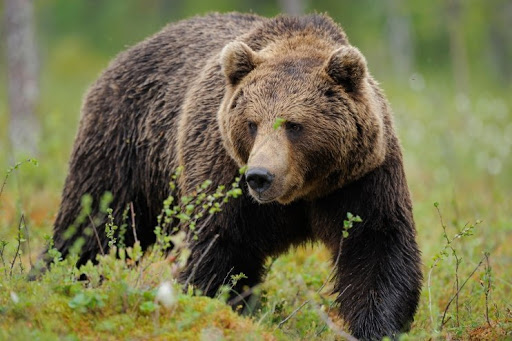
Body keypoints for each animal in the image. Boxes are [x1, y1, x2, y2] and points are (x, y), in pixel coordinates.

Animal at [45, 11, 420, 338]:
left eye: (294, 125)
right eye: (252, 123)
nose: (260, 176)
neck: (301, 193)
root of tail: (123, 55)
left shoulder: (361, 177)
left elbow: (376, 246)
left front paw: (376, 326)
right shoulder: (222, 172)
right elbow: (219, 248)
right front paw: (220, 309)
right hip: (124, 145)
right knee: (91, 224)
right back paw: (55, 275)